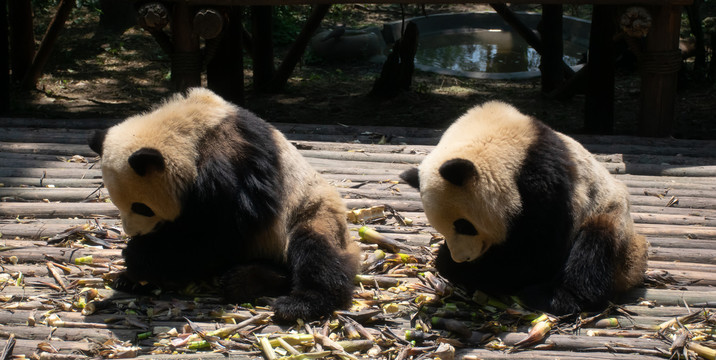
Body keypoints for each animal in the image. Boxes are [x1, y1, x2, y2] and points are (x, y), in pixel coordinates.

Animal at [88, 88, 358, 324]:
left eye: (142, 207)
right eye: (118, 204)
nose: (134, 233)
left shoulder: (231, 160)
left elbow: (222, 232)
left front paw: (138, 258)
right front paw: (133, 273)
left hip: (309, 209)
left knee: (317, 251)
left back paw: (293, 302)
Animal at [402, 101, 648, 316]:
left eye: (464, 226)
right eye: (441, 229)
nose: (462, 258)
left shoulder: (544, 185)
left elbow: (537, 252)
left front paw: (460, 268)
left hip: (608, 214)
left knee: (594, 248)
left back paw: (556, 297)